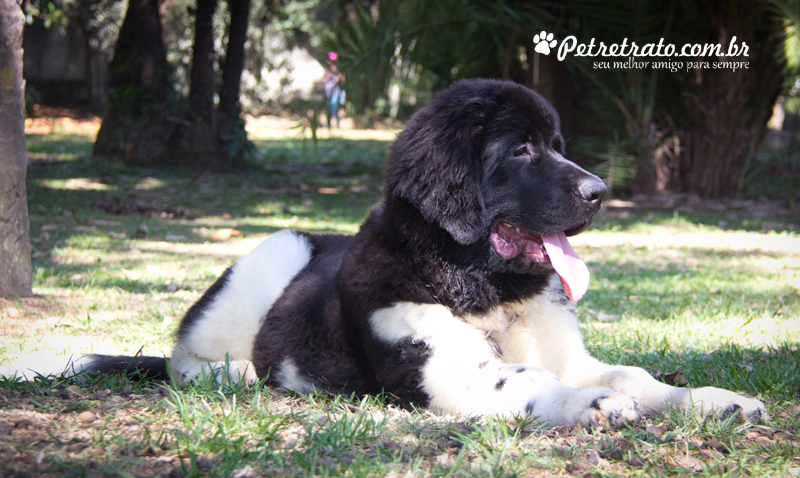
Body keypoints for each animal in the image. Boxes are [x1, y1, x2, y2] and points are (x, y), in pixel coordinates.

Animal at [7, 79, 768, 430]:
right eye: (522, 149)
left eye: (557, 143)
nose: (601, 191)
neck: (486, 286)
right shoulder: (440, 368)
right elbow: (523, 380)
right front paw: (588, 403)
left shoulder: (564, 348)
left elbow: (632, 374)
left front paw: (710, 399)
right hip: (272, 252)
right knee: (188, 357)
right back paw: (242, 375)